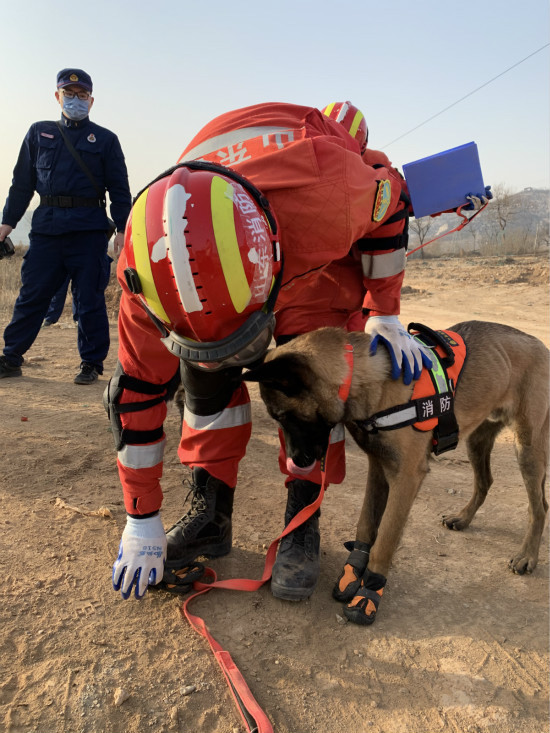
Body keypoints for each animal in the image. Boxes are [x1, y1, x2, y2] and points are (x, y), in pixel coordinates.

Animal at [247, 320, 550, 624]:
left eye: (282, 416)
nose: (294, 462)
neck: (364, 378)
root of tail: (540, 344)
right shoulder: (378, 466)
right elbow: (367, 524)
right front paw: (353, 572)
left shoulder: (406, 477)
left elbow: (385, 539)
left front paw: (370, 590)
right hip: (478, 440)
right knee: (485, 481)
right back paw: (463, 518)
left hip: (527, 447)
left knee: (539, 506)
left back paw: (526, 556)